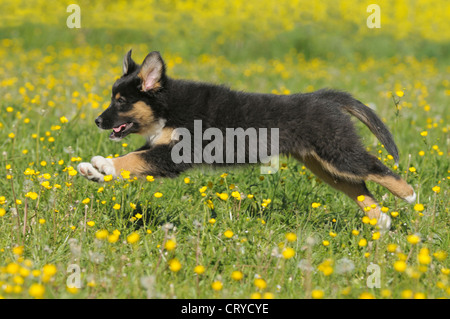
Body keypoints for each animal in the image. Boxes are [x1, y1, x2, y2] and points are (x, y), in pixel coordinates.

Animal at [78, 50, 418, 230]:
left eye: (121, 102)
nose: (97, 121)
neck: (168, 106)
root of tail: (323, 98)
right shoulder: (160, 145)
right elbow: (136, 159)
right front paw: (94, 170)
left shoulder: (177, 152)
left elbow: (133, 159)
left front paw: (105, 165)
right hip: (323, 165)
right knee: (358, 187)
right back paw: (381, 221)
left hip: (337, 152)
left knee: (376, 167)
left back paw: (409, 195)